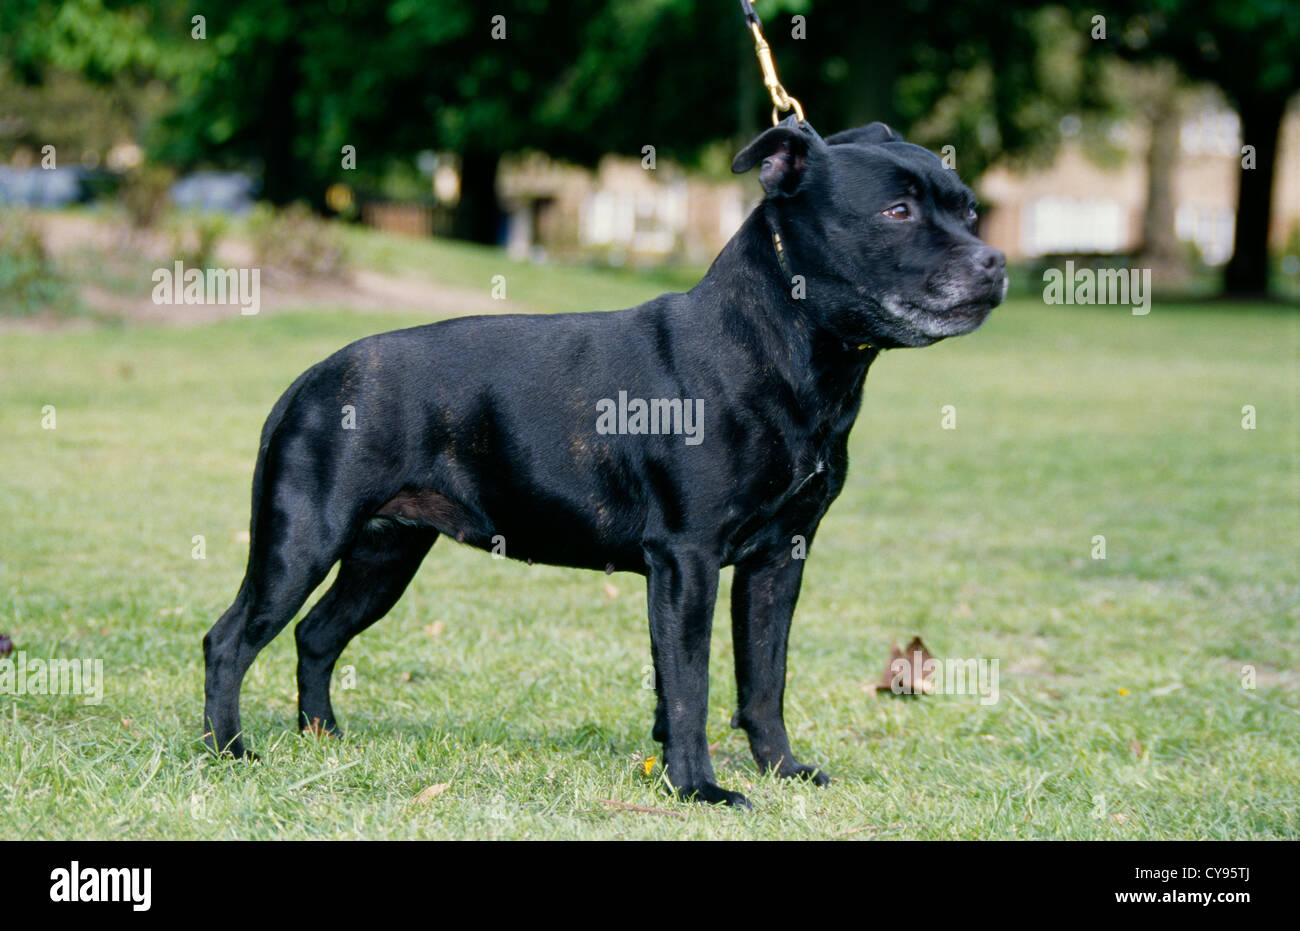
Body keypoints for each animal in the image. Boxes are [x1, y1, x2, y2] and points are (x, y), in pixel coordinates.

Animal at [200, 120, 1003, 806]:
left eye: (968, 211)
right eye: (897, 211)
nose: (992, 261)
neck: (783, 342)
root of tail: (312, 377)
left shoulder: (779, 558)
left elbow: (761, 679)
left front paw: (783, 770)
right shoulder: (688, 557)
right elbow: (692, 683)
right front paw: (699, 789)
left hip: (384, 553)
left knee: (316, 635)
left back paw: (324, 738)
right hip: (304, 539)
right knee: (230, 638)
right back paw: (229, 751)